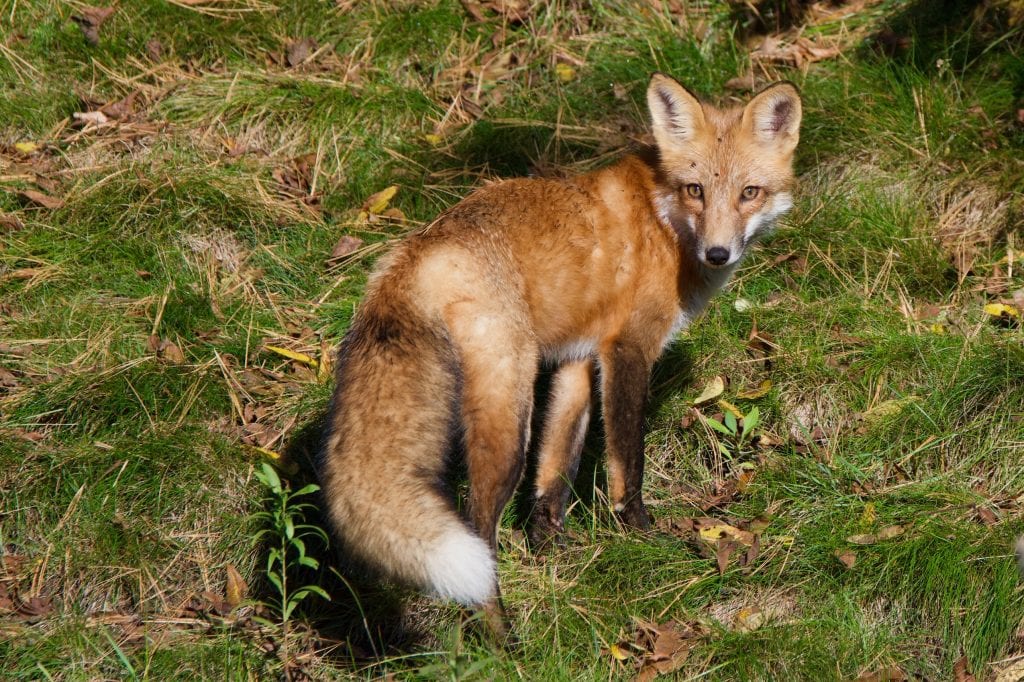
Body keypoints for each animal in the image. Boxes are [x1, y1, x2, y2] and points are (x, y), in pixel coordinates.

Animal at [317, 73, 801, 635]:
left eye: (750, 193)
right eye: (695, 190)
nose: (718, 253)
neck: (663, 221)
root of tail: (418, 249)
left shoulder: (578, 359)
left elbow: (555, 469)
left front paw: (551, 549)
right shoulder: (627, 349)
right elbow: (626, 464)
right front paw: (640, 535)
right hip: (509, 411)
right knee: (479, 527)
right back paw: (499, 638)